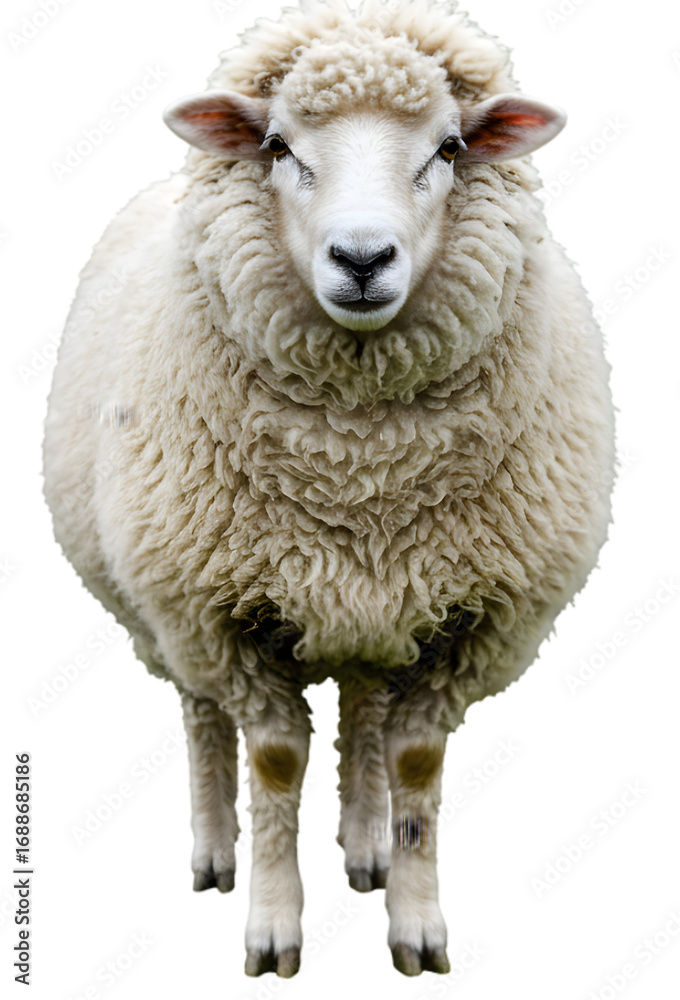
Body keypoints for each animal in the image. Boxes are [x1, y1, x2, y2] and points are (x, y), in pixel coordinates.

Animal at [42, 0, 615, 979]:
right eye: (277, 146)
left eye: (451, 148)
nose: (361, 258)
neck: (360, 466)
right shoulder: (218, 614)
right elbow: (272, 761)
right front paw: (272, 930)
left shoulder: (468, 618)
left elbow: (414, 760)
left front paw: (417, 924)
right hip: (163, 608)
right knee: (201, 716)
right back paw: (215, 851)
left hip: (373, 604)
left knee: (362, 707)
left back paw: (365, 843)